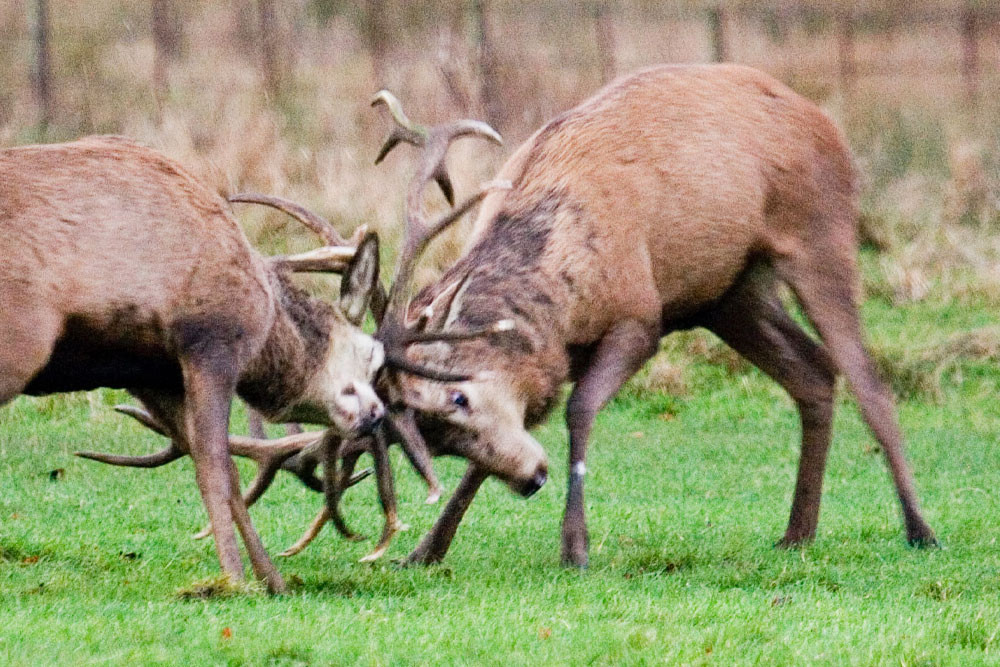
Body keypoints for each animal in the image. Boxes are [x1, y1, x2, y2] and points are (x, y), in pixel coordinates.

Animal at [0, 135, 386, 592]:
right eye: (372, 354)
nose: (376, 415)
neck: (266, 320)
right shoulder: (210, 344)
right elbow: (215, 467)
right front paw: (235, 578)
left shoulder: (150, 374)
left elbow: (220, 470)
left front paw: (272, 579)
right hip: (21, 342)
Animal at [363, 64, 937, 568]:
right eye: (436, 441)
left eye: (458, 397)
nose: (532, 480)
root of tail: (825, 120)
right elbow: (509, 438)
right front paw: (424, 551)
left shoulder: (639, 315)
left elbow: (580, 409)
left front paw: (575, 548)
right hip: (729, 293)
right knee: (813, 369)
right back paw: (798, 532)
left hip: (821, 230)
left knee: (867, 379)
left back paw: (919, 529)